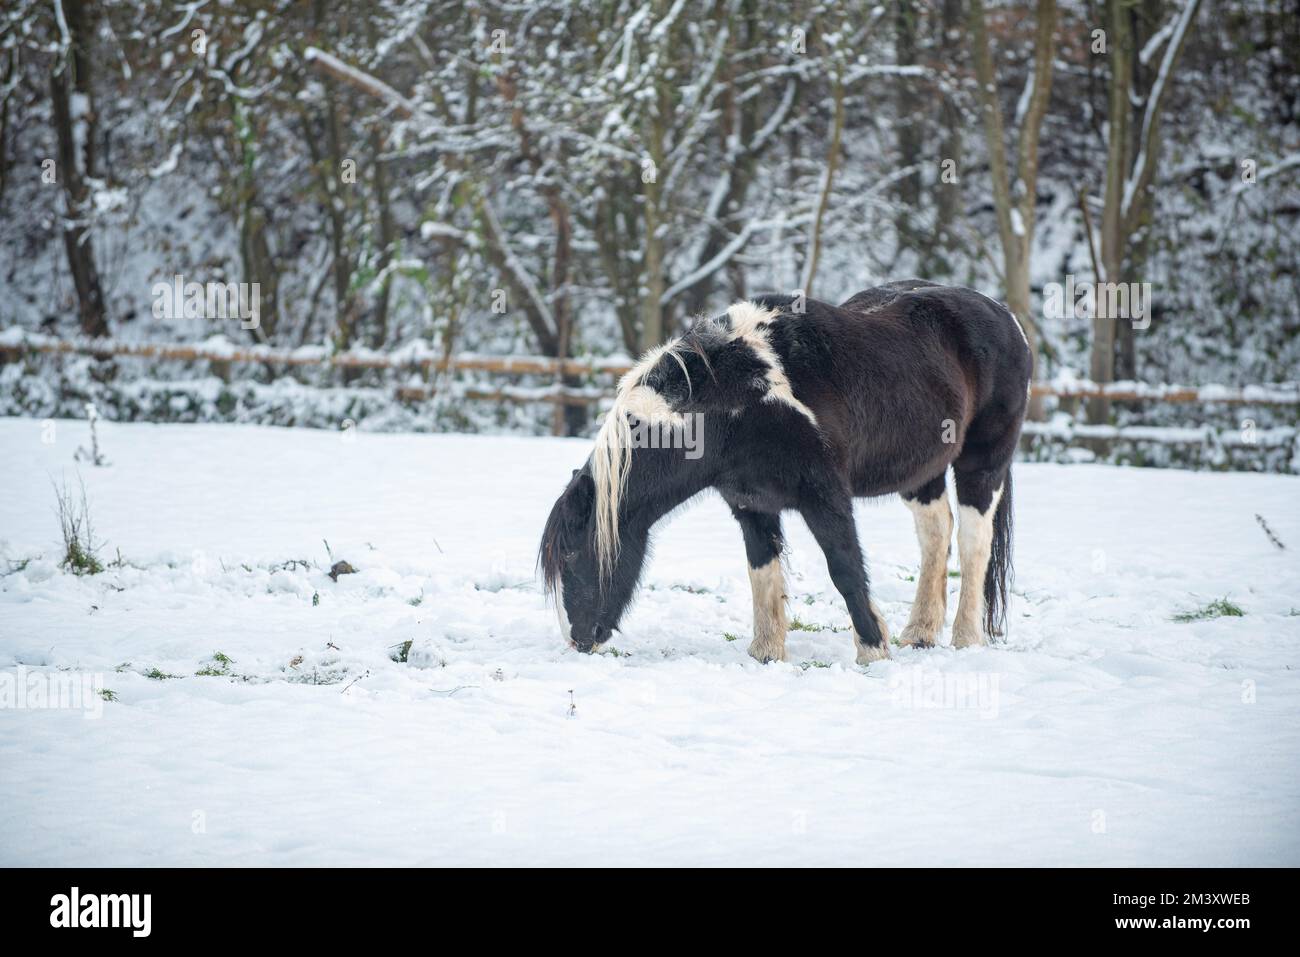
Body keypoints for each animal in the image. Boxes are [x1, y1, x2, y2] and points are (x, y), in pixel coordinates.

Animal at [535, 280, 1024, 660]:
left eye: (573, 555)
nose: (577, 640)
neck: (737, 400)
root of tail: (1003, 314)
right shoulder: (750, 504)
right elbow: (762, 571)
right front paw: (767, 652)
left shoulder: (825, 497)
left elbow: (845, 569)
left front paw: (872, 649)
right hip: (922, 474)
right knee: (936, 533)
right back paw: (920, 633)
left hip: (982, 464)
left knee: (974, 542)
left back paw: (965, 638)